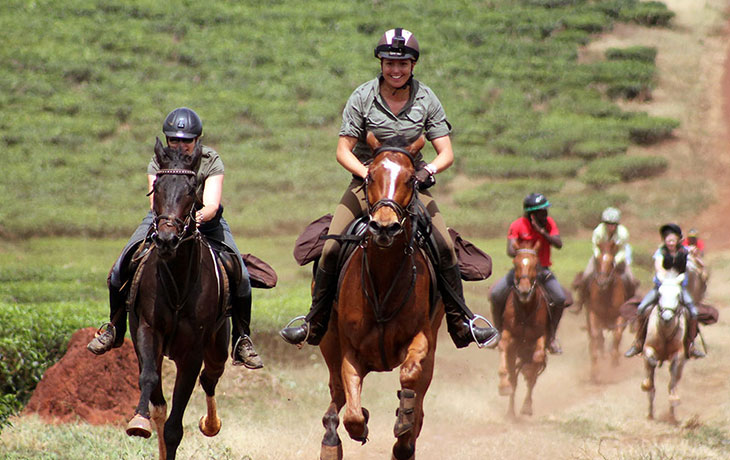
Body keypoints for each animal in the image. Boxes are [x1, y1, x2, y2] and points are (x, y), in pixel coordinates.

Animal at [123, 138, 229, 458]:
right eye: (156, 187)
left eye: (191, 190)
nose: (167, 239)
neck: (178, 284)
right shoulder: (147, 331)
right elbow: (150, 382)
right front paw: (138, 422)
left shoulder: (192, 351)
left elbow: (174, 428)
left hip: (219, 346)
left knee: (211, 376)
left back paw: (211, 423)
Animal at [318, 137, 444, 460]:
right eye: (370, 176)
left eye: (411, 179)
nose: (385, 227)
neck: (384, 277)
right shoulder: (350, 350)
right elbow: (352, 411)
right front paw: (360, 423)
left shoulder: (422, 337)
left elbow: (411, 377)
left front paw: (403, 422)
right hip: (328, 341)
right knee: (336, 396)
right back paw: (330, 439)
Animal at [494, 239, 544, 418]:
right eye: (515, 264)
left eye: (536, 265)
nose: (523, 291)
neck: (525, 309)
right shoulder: (509, 335)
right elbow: (503, 347)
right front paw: (503, 385)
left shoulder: (541, 336)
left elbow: (537, 358)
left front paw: (527, 406)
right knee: (514, 378)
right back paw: (510, 411)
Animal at [580, 241, 624, 380]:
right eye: (598, 261)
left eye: (611, 262)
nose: (602, 282)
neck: (606, 294)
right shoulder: (593, 314)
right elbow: (595, 336)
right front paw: (594, 372)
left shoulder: (621, 315)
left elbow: (617, 335)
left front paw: (614, 361)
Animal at [640, 272, 684, 422]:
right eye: (659, 293)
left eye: (678, 294)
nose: (667, 317)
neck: (665, 331)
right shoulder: (647, 349)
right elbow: (650, 365)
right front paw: (646, 384)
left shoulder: (679, 354)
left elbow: (673, 379)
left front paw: (674, 399)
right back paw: (650, 413)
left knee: (674, 380)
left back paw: (672, 414)